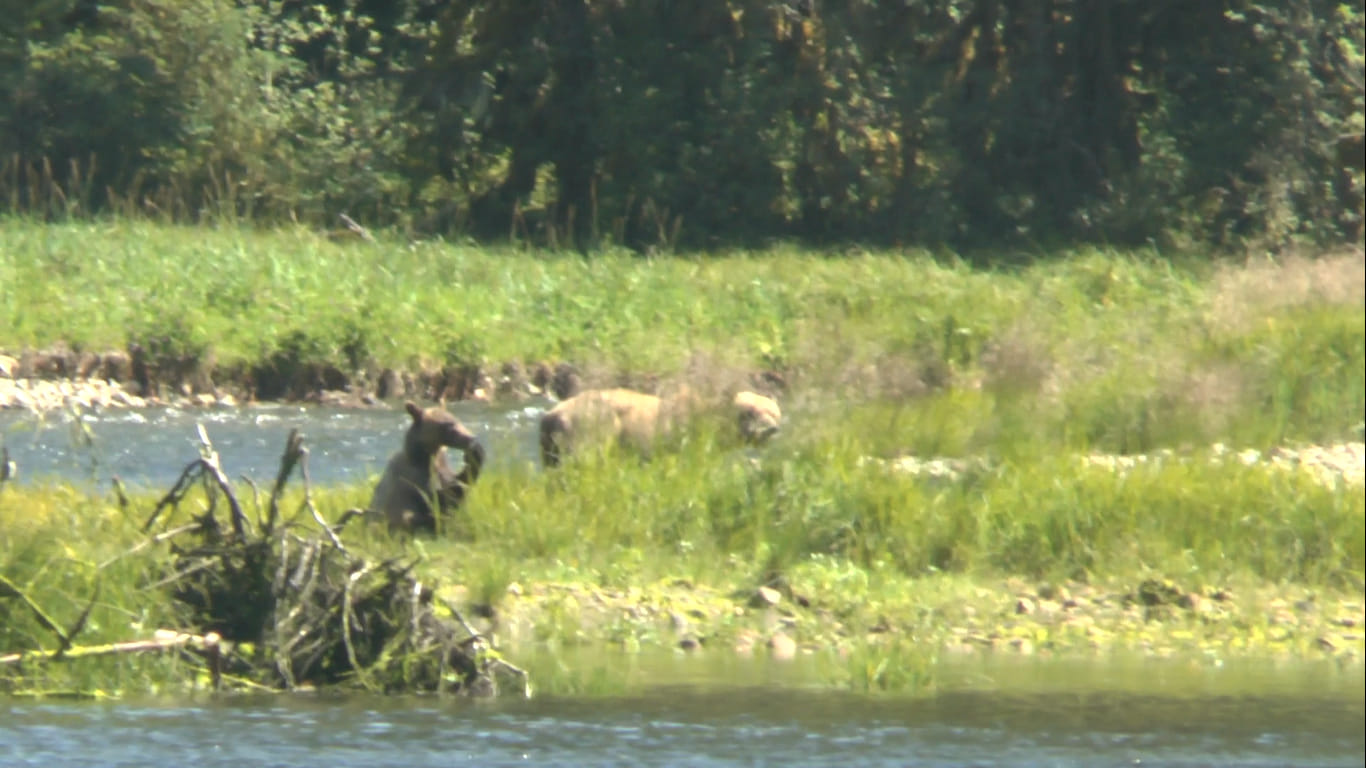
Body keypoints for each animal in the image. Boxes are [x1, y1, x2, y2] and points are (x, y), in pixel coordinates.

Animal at [369, 401, 485, 533]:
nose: (470, 438)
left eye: (457, 420)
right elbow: (438, 499)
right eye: (449, 427)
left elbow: (458, 484)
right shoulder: (414, 477)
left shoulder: (442, 468)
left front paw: (474, 455)